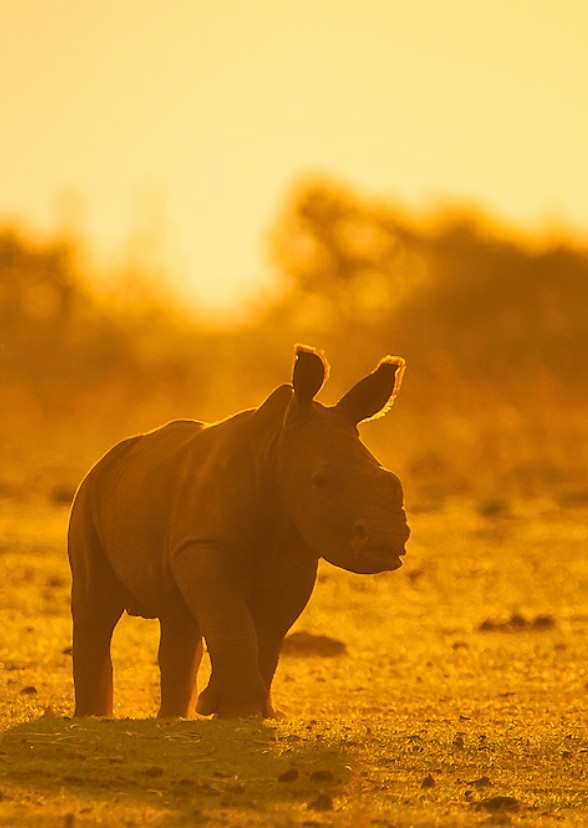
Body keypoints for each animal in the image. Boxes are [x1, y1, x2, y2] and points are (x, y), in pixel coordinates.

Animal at [68, 346, 409, 719]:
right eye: (321, 481)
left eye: (393, 483)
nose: (386, 538)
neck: (275, 448)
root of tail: (110, 456)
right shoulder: (204, 545)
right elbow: (231, 619)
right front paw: (239, 708)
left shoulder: (297, 558)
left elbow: (267, 633)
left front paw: (252, 710)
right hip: (90, 493)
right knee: (96, 605)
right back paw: (93, 717)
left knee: (178, 616)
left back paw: (173, 717)